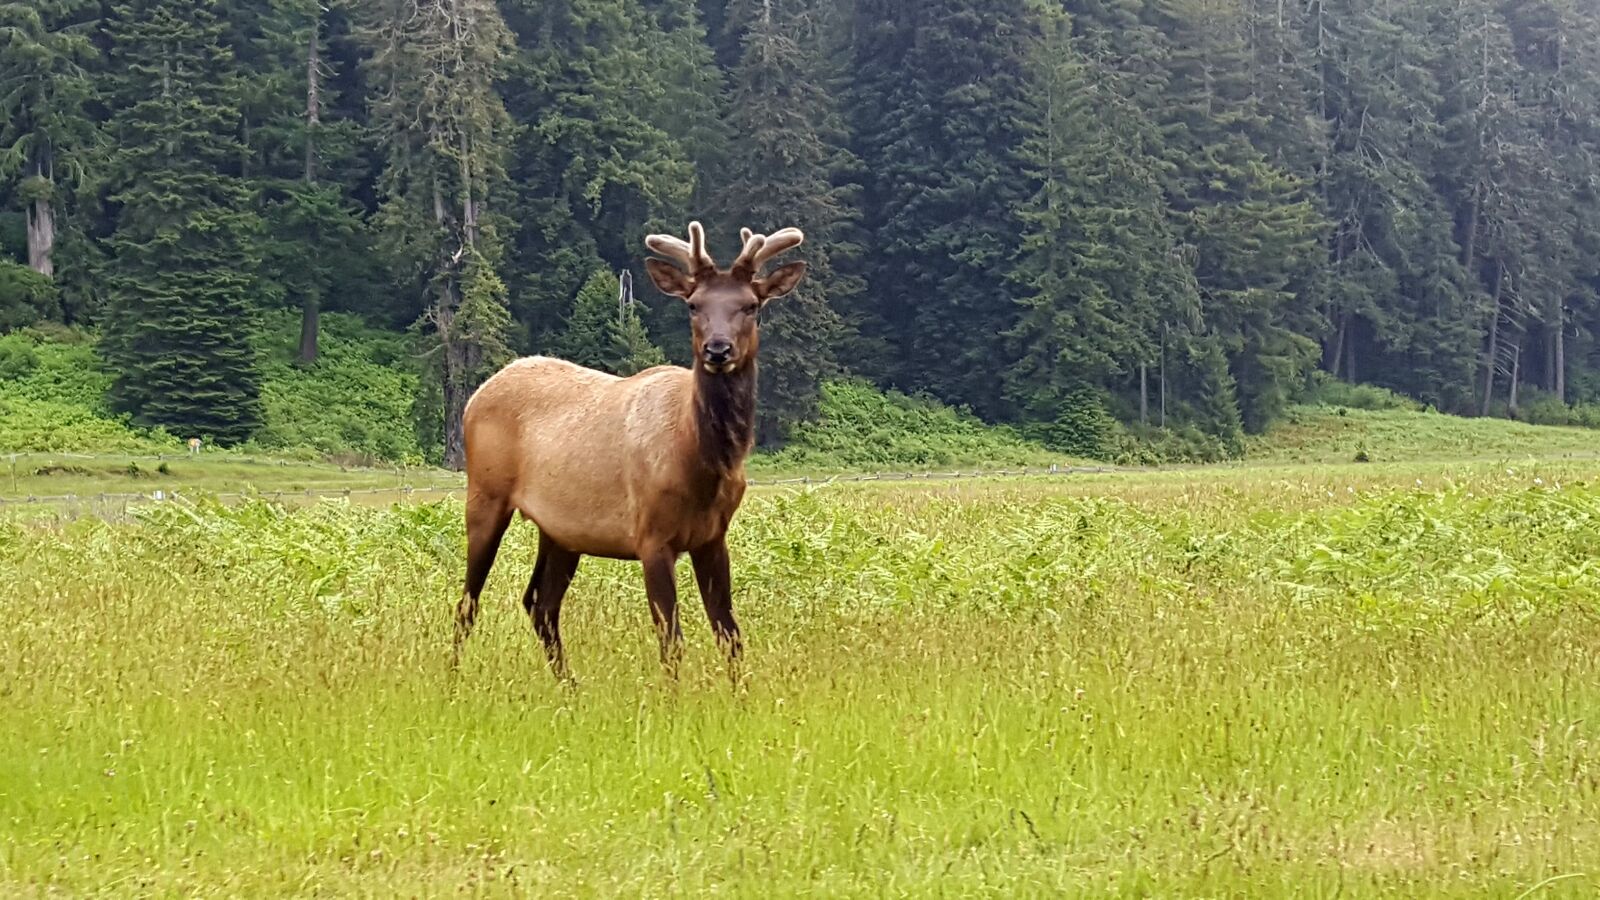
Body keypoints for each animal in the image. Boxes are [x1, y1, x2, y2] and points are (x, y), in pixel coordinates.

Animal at [451, 222, 808, 681]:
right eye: (693, 304)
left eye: (751, 305)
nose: (717, 349)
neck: (700, 464)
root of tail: (475, 397)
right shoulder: (650, 535)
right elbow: (671, 642)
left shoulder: (714, 536)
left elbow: (730, 636)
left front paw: (740, 694)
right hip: (485, 494)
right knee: (467, 602)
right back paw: (451, 679)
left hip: (560, 531)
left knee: (540, 604)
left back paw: (571, 687)